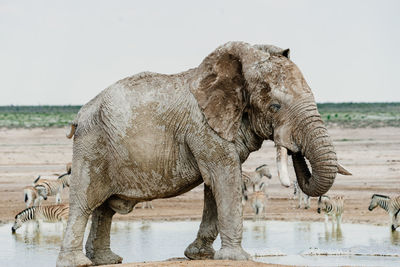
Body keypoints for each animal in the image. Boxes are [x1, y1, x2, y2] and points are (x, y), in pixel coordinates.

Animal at [56, 40, 350, 266]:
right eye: (275, 106)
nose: (293, 149)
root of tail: (80, 115)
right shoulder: (203, 127)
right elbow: (225, 177)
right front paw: (237, 258)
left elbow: (215, 187)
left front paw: (200, 255)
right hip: (92, 145)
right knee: (85, 202)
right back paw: (77, 262)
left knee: (104, 209)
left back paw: (107, 260)